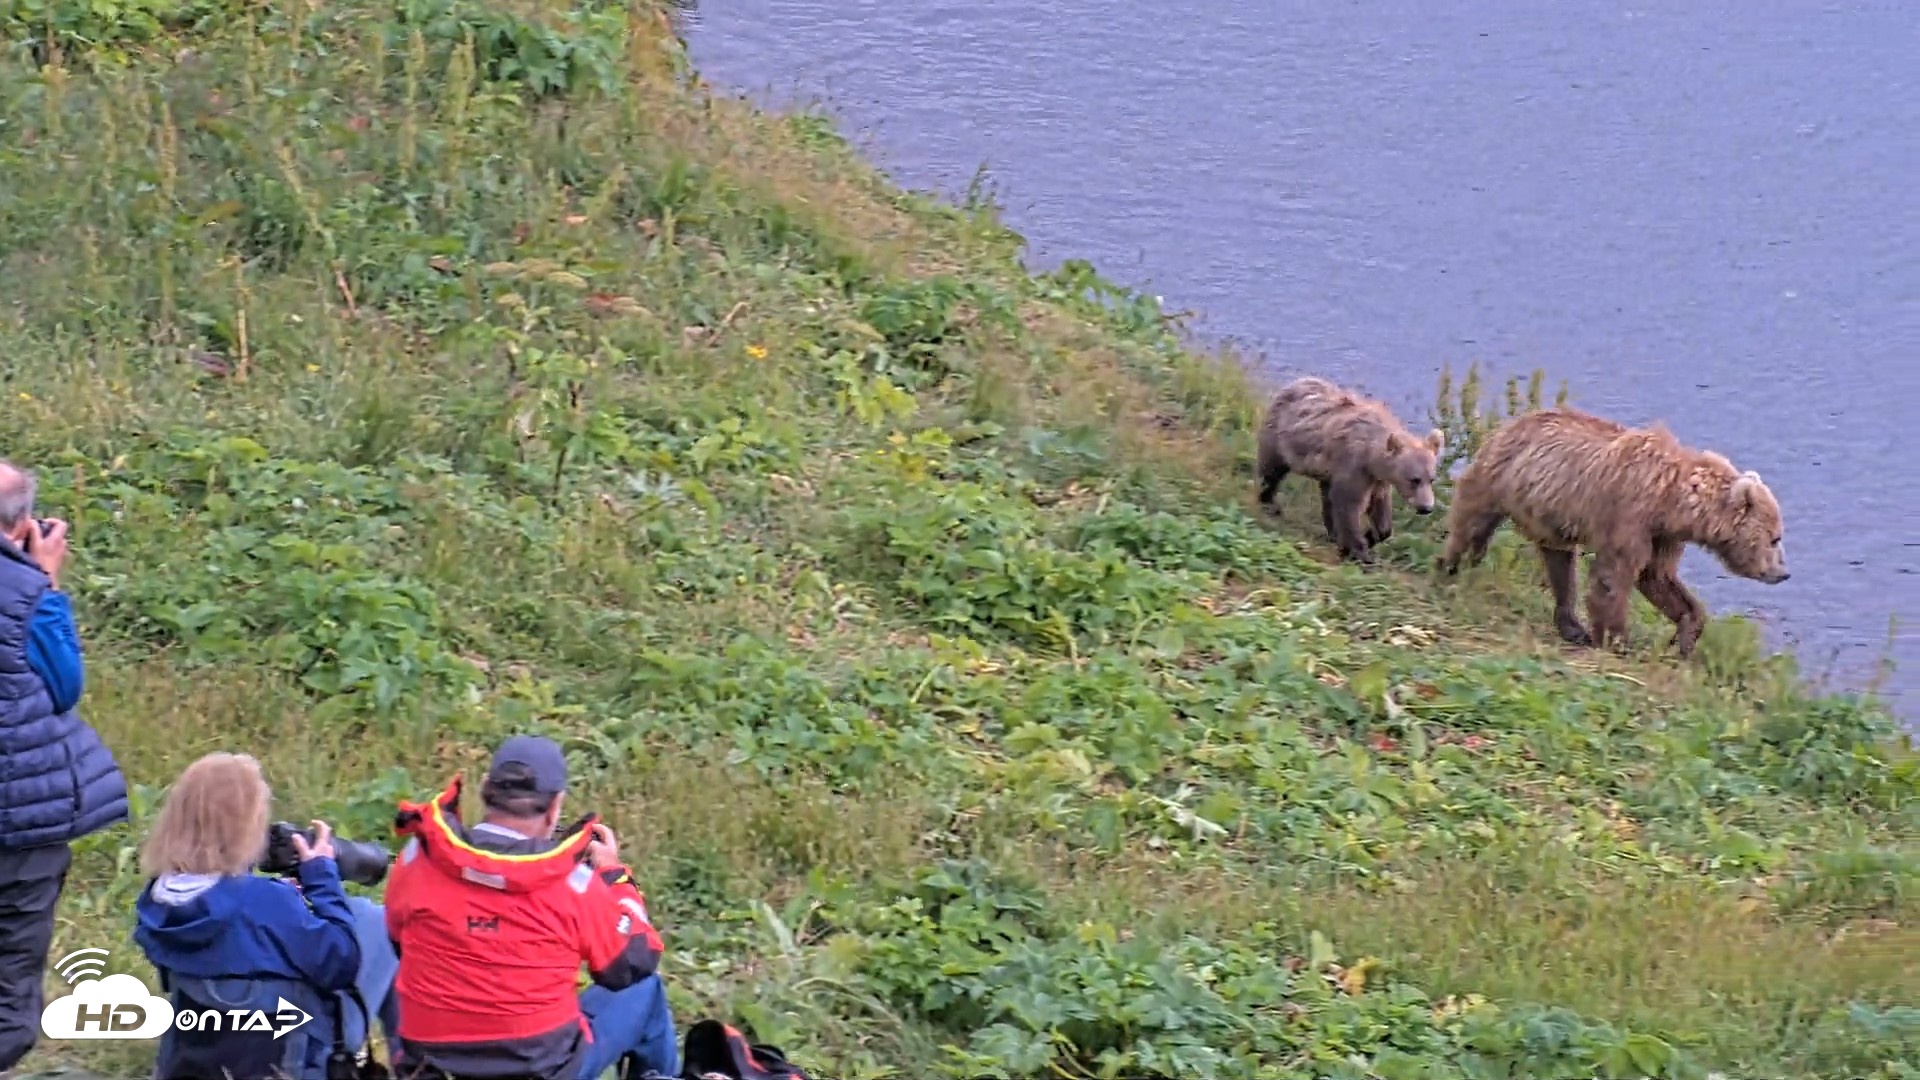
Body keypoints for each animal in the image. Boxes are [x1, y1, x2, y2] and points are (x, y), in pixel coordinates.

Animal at [1255, 376, 1446, 565]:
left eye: (1432, 479)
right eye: (1414, 479)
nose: (1426, 508)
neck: (1371, 456)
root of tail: (1297, 381)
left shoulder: (1377, 479)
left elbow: (1379, 507)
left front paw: (1372, 535)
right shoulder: (1354, 466)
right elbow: (1349, 504)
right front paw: (1360, 552)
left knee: (1327, 496)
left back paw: (1332, 532)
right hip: (1279, 436)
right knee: (1272, 470)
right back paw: (1270, 503)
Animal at [1436, 406, 1790, 659]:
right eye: (1775, 537)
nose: (1783, 573)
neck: (1671, 501)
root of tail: (1508, 424)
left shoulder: (1663, 536)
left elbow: (1658, 578)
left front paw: (1685, 636)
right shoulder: (1629, 514)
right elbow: (1614, 576)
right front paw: (1617, 638)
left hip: (1552, 516)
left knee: (1561, 565)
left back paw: (1571, 626)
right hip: (1499, 477)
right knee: (1472, 524)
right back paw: (1449, 566)